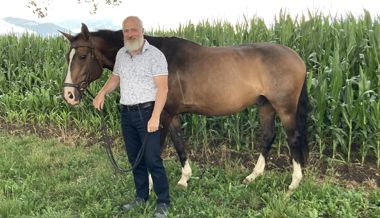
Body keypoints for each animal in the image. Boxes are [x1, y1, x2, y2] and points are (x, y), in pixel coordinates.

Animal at [60, 23, 308, 190]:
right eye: (67, 57)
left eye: (83, 55)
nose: (69, 95)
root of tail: (297, 57)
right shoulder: (173, 114)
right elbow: (179, 143)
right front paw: (183, 179)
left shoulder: (161, 115)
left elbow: (155, 150)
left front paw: (151, 185)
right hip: (265, 106)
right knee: (268, 136)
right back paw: (253, 176)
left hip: (285, 108)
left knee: (293, 138)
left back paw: (294, 183)